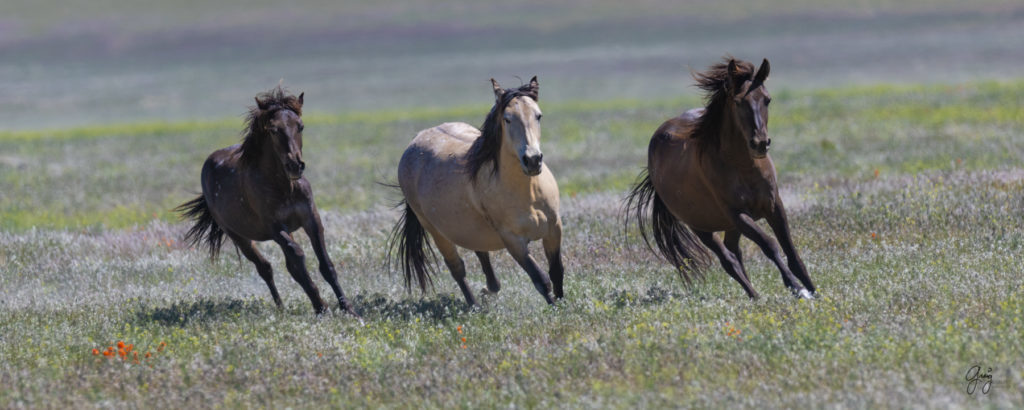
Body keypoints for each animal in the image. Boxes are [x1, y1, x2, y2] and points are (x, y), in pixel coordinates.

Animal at [179, 87, 360, 317]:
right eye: (273, 130)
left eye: (301, 126)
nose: (295, 165)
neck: (285, 187)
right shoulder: (275, 228)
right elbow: (298, 256)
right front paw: (322, 307)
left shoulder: (311, 219)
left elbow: (325, 265)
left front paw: (349, 309)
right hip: (239, 236)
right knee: (265, 267)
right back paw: (281, 308)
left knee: (286, 266)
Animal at [387, 77, 565, 307]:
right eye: (507, 119)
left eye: (538, 115)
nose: (533, 160)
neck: (529, 193)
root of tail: (414, 143)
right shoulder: (513, 240)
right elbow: (541, 280)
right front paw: (555, 310)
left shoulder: (554, 228)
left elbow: (556, 272)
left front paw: (564, 306)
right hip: (435, 231)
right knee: (457, 267)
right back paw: (473, 306)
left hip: (470, 228)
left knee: (480, 253)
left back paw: (488, 290)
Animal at [622, 57, 815, 299]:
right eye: (738, 101)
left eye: (767, 99)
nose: (760, 143)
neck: (743, 167)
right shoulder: (737, 214)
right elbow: (770, 245)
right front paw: (797, 288)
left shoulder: (774, 206)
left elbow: (792, 253)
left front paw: (813, 291)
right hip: (702, 227)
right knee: (728, 260)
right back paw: (755, 297)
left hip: (729, 226)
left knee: (734, 252)